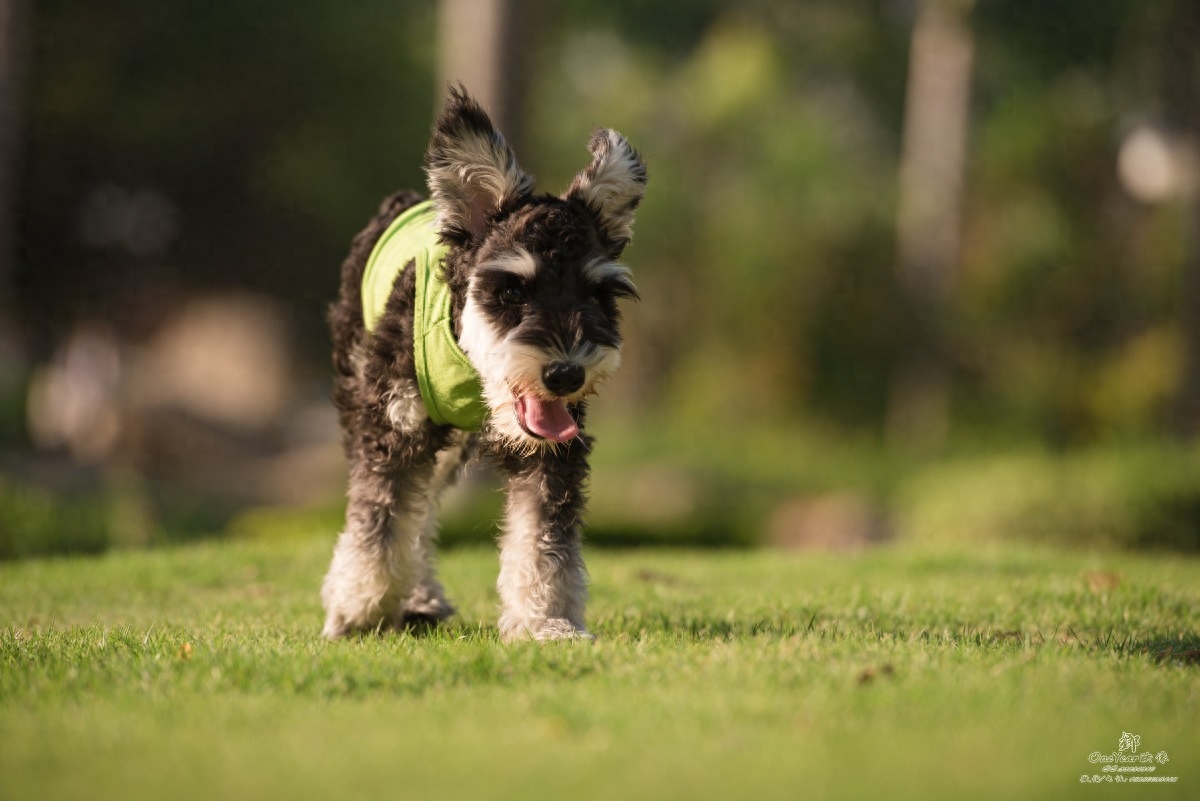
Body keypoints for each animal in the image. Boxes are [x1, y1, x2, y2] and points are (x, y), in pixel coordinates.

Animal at [319, 84, 648, 642]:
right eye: (511, 290)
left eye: (597, 295)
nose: (565, 375)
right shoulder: (392, 431)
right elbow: (381, 518)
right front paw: (359, 612)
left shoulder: (552, 455)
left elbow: (541, 540)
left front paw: (547, 622)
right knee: (414, 512)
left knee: (425, 510)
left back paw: (421, 597)